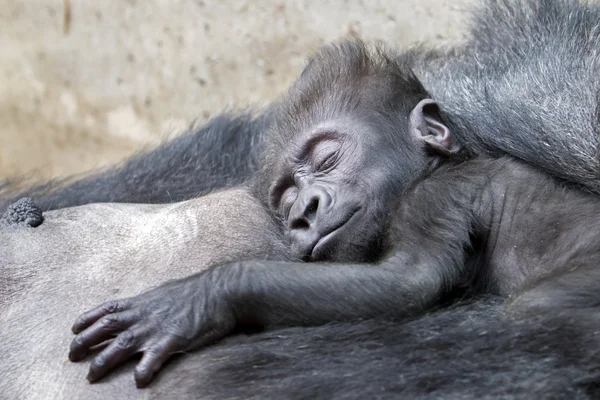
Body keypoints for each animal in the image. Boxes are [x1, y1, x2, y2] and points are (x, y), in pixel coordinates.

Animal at [67, 41, 600, 388]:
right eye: (286, 200)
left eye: (326, 160)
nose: (306, 210)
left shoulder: (435, 196)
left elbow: (410, 282)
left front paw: (203, 296)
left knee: (539, 308)